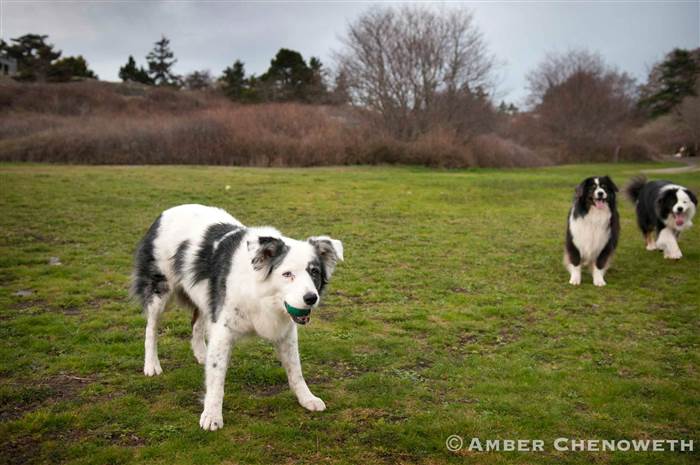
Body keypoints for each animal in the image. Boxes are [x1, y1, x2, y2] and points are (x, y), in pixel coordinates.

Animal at [132, 205, 344, 430]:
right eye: (287, 274)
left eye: (314, 272)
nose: (311, 298)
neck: (261, 294)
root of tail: (166, 211)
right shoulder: (223, 330)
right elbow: (217, 378)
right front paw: (212, 415)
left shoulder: (285, 332)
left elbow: (296, 370)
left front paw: (307, 398)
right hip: (160, 289)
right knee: (151, 328)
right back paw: (151, 365)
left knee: (196, 323)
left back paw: (201, 354)